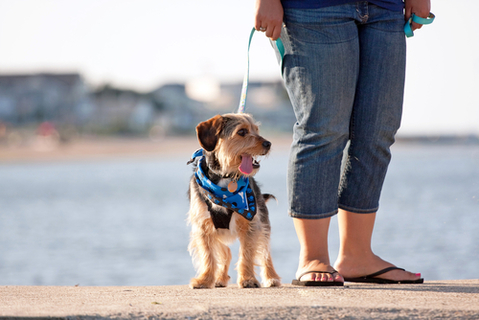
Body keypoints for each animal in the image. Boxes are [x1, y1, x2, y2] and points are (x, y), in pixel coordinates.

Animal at [188, 114, 284, 288]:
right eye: (242, 132)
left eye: (256, 130)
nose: (268, 143)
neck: (226, 177)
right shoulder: (203, 227)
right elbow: (208, 255)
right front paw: (204, 279)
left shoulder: (251, 223)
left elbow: (247, 253)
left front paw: (248, 279)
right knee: (225, 252)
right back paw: (219, 278)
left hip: (263, 223)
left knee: (265, 253)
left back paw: (271, 277)